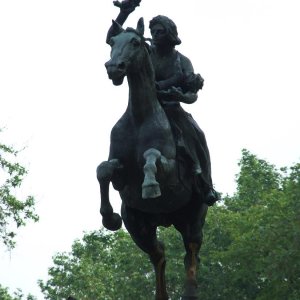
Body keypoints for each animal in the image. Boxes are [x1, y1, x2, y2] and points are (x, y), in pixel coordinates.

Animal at [97, 18, 207, 300]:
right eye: (112, 42)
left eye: (136, 42)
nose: (114, 68)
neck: (140, 116)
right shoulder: (121, 174)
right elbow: (103, 170)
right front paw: (109, 218)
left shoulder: (171, 172)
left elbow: (152, 158)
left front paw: (150, 186)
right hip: (139, 226)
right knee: (159, 254)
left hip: (193, 220)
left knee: (190, 254)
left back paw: (190, 292)